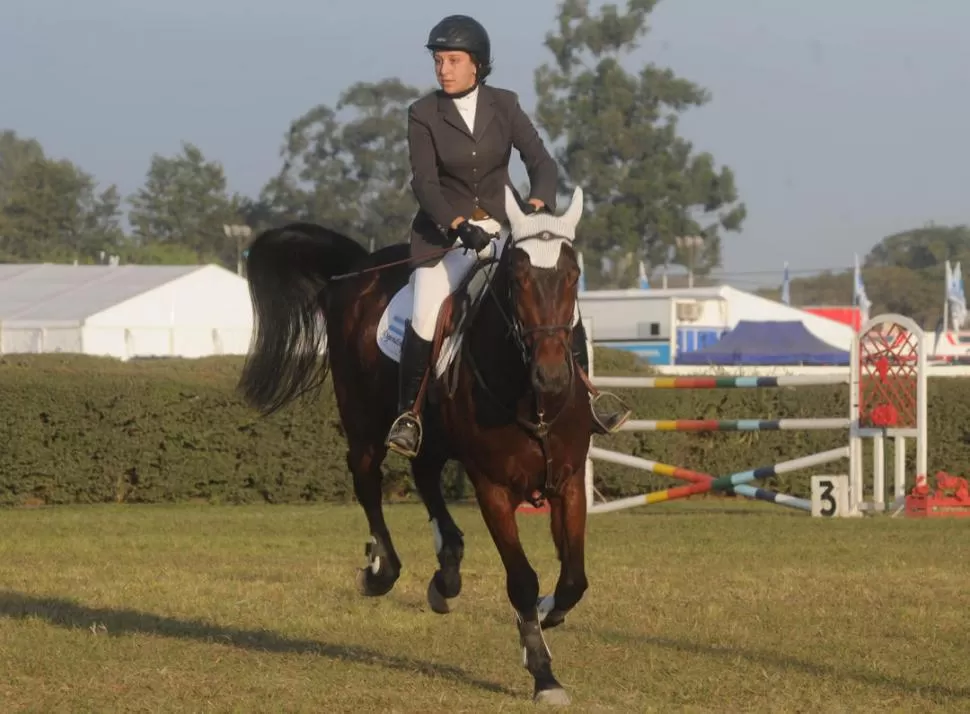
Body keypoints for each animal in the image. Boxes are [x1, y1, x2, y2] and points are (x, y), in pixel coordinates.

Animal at [238, 186, 592, 704]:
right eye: (517, 277)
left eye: (573, 276)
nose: (552, 376)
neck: (531, 395)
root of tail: (362, 266)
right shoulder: (492, 489)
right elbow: (523, 581)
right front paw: (543, 672)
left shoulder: (567, 482)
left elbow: (572, 579)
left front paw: (547, 618)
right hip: (364, 421)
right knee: (367, 478)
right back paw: (382, 570)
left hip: (434, 432)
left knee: (424, 473)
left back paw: (447, 570)